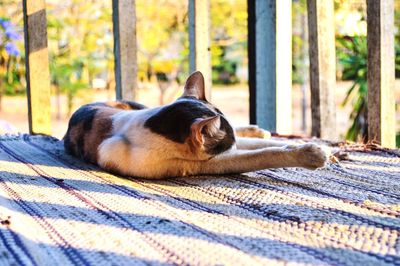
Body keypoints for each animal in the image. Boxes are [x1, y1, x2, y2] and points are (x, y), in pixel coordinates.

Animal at [65, 70, 328, 179]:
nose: (233, 142)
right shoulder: (208, 162)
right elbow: (261, 154)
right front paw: (311, 154)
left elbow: (259, 145)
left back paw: (256, 129)